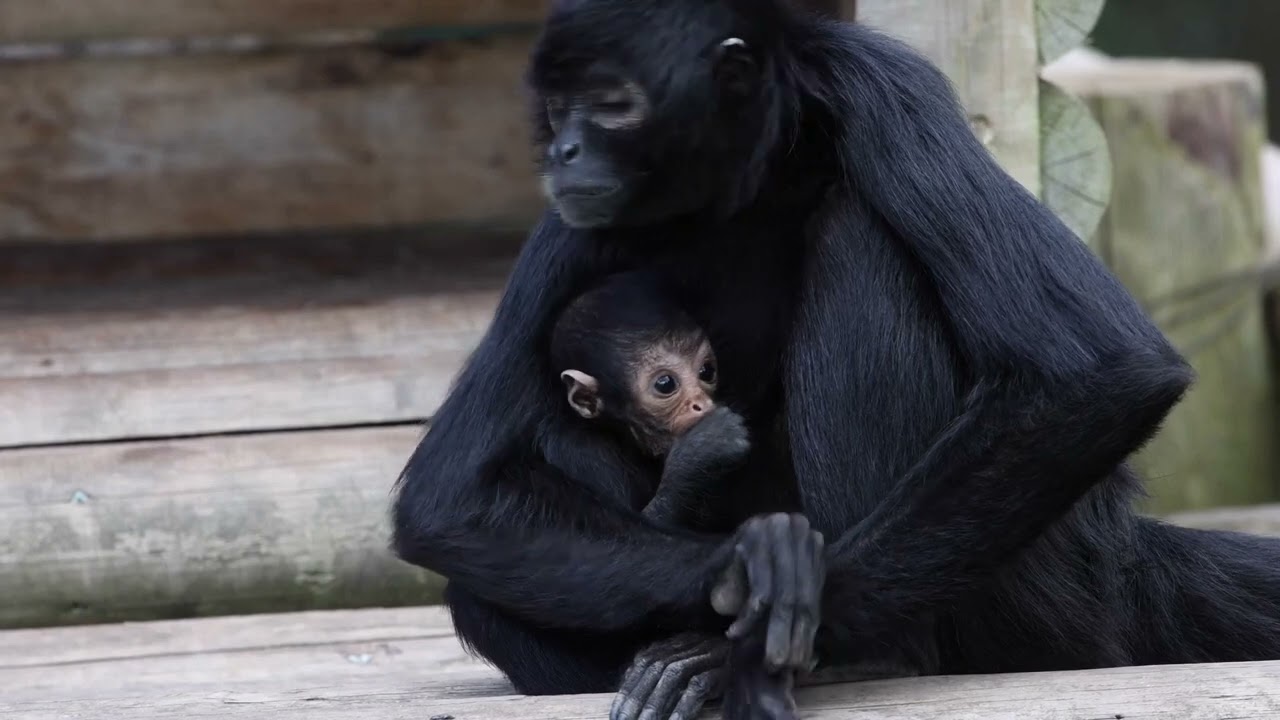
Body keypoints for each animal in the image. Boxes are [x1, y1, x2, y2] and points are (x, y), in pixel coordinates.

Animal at [394, 0, 1280, 712]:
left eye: (610, 107)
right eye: (559, 110)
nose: (564, 152)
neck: (744, 186)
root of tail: (1125, 552)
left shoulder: (884, 89)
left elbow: (1103, 370)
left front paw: (754, 629)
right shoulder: (576, 218)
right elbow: (450, 496)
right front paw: (745, 570)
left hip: (1051, 589)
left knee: (856, 235)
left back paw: (868, 655)